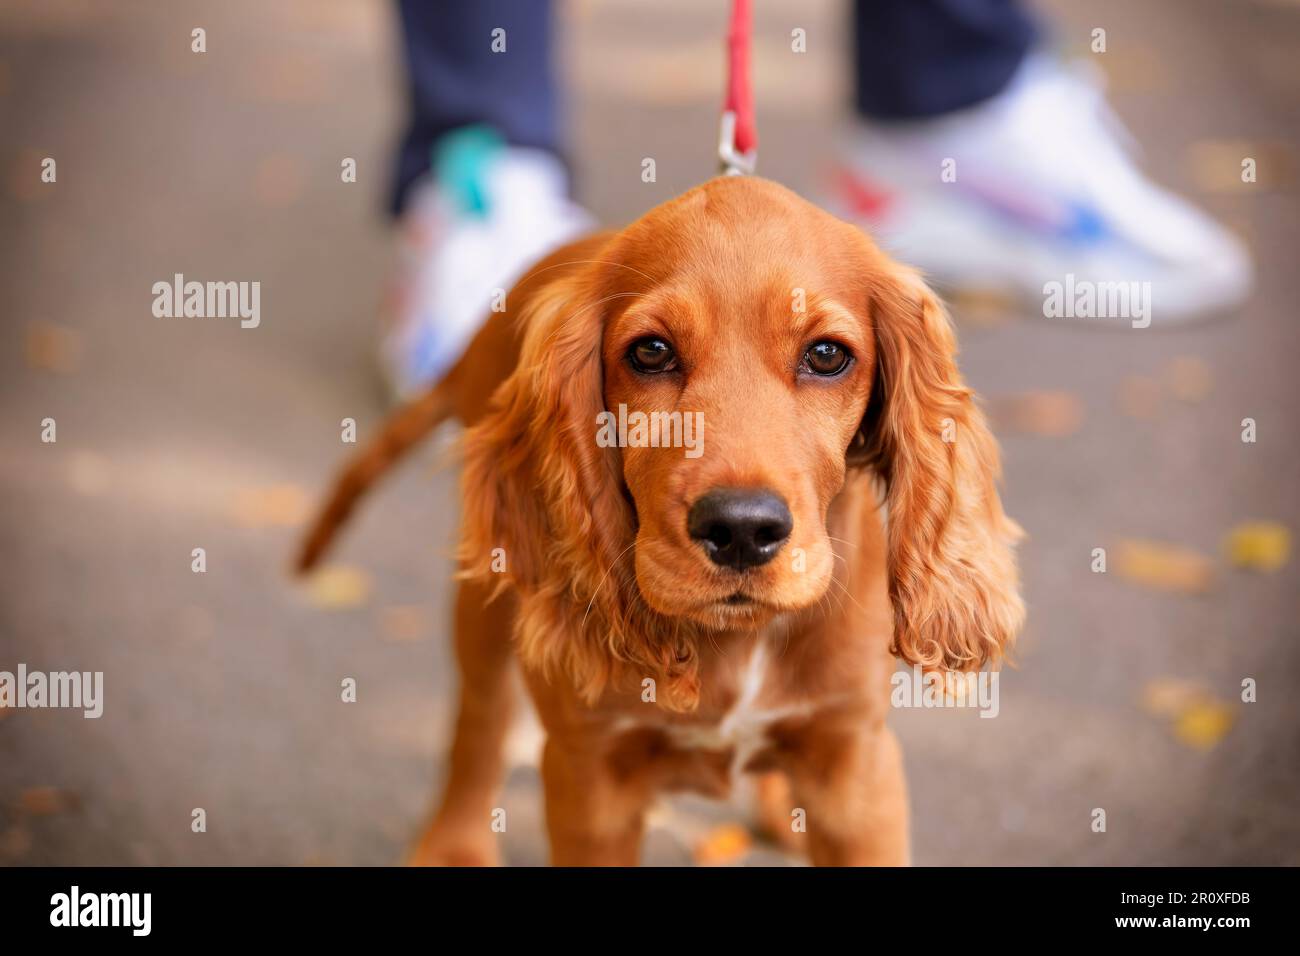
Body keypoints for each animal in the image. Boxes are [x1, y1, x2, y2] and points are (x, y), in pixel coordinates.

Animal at [299, 174, 1019, 868]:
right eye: (650, 352)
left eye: (826, 355)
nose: (742, 530)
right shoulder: (589, 779)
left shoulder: (858, 765)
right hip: (488, 599)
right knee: (479, 718)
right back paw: (454, 844)